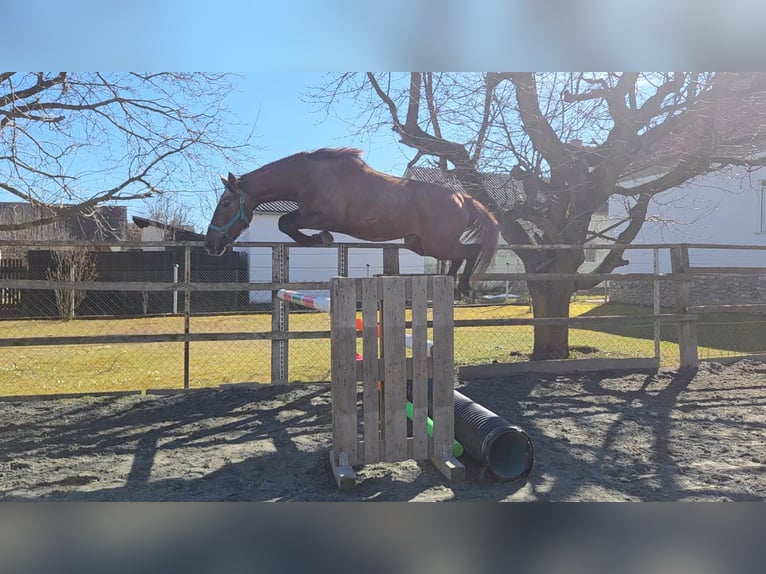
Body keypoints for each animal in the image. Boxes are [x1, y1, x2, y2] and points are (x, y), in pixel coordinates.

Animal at [204, 148, 500, 297]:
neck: (307, 176)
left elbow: (285, 223)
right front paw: (320, 239)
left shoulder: (324, 216)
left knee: (470, 252)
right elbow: (286, 224)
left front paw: (320, 238)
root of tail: (463, 198)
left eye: (226, 203)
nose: (210, 245)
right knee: (459, 257)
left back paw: (463, 287)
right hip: (420, 244)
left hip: (436, 244)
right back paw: (454, 287)